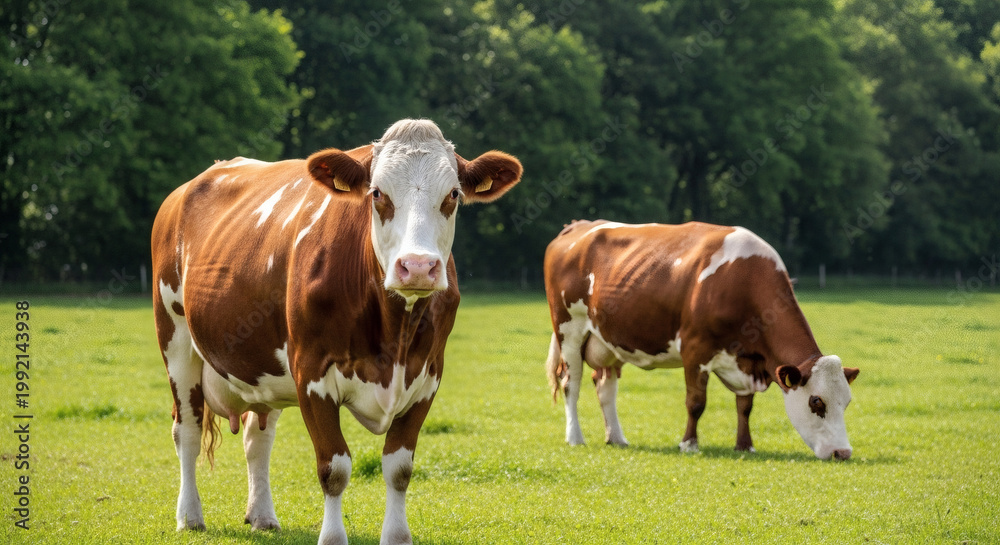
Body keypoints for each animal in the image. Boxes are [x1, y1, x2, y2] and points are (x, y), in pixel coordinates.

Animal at [151, 119, 522, 545]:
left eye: (454, 194)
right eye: (377, 193)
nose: (417, 266)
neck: (394, 336)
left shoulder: (427, 377)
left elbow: (399, 468)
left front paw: (397, 536)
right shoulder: (311, 374)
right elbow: (334, 467)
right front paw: (332, 537)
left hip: (262, 366)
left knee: (257, 440)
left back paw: (262, 515)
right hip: (176, 340)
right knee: (187, 430)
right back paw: (190, 516)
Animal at [543, 220, 859, 460]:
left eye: (846, 402)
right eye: (817, 402)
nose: (842, 453)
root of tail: (577, 226)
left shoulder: (746, 362)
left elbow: (745, 406)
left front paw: (745, 445)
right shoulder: (695, 350)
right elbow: (696, 402)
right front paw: (689, 444)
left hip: (609, 341)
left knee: (605, 387)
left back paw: (617, 437)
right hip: (569, 330)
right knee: (571, 383)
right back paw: (575, 437)